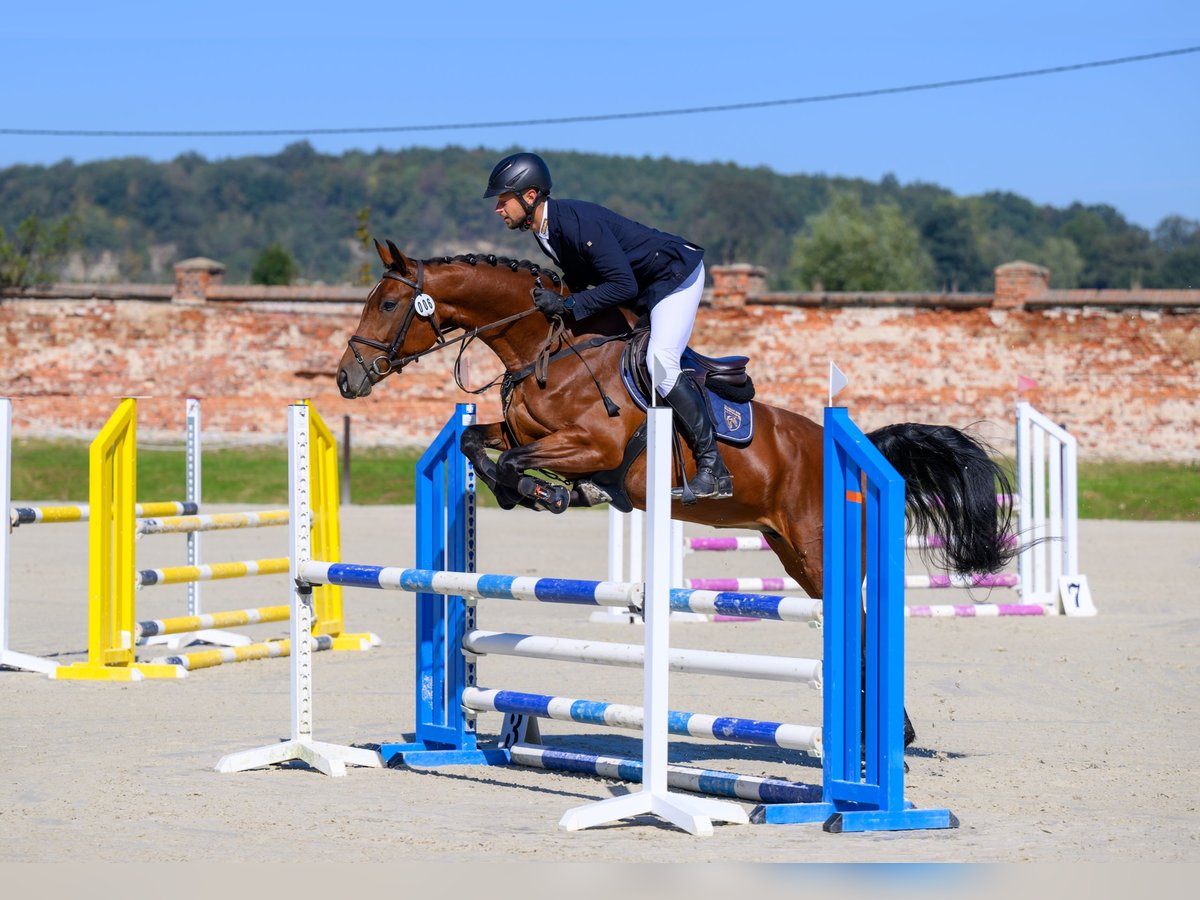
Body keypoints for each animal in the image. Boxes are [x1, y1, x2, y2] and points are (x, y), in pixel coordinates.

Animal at [336, 240, 1012, 607]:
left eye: (389, 303)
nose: (347, 377)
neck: (549, 351)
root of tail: (856, 448)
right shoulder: (525, 432)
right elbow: (480, 443)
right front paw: (518, 492)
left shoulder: (594, 445)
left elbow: (519, 460)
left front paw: (544, 492)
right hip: (791, 551)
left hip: (819, 548)